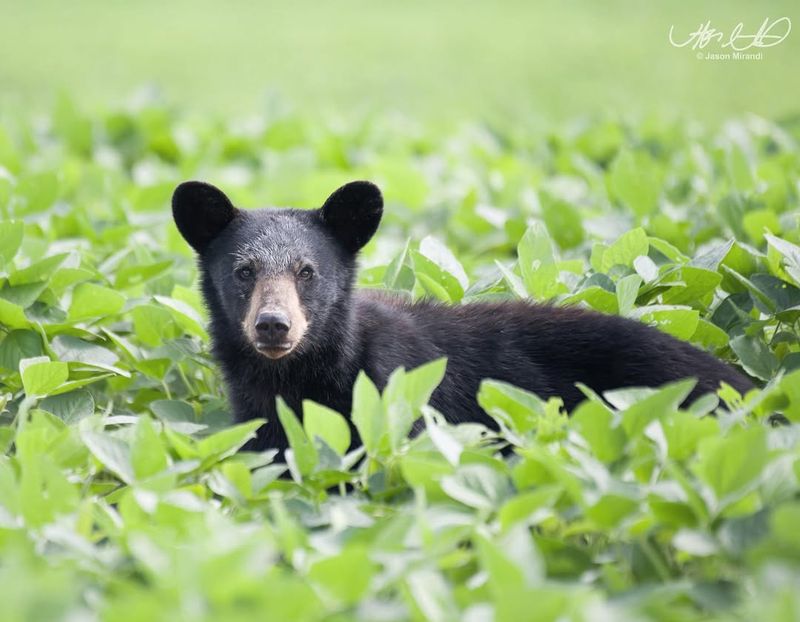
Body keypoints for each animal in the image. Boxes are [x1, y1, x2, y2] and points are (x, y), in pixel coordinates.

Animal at [172, 178, 752, 450]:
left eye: (306, 271)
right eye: (244, 270)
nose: (274, 324)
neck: (297, 378)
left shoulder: (397, 399)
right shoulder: (260, 422)